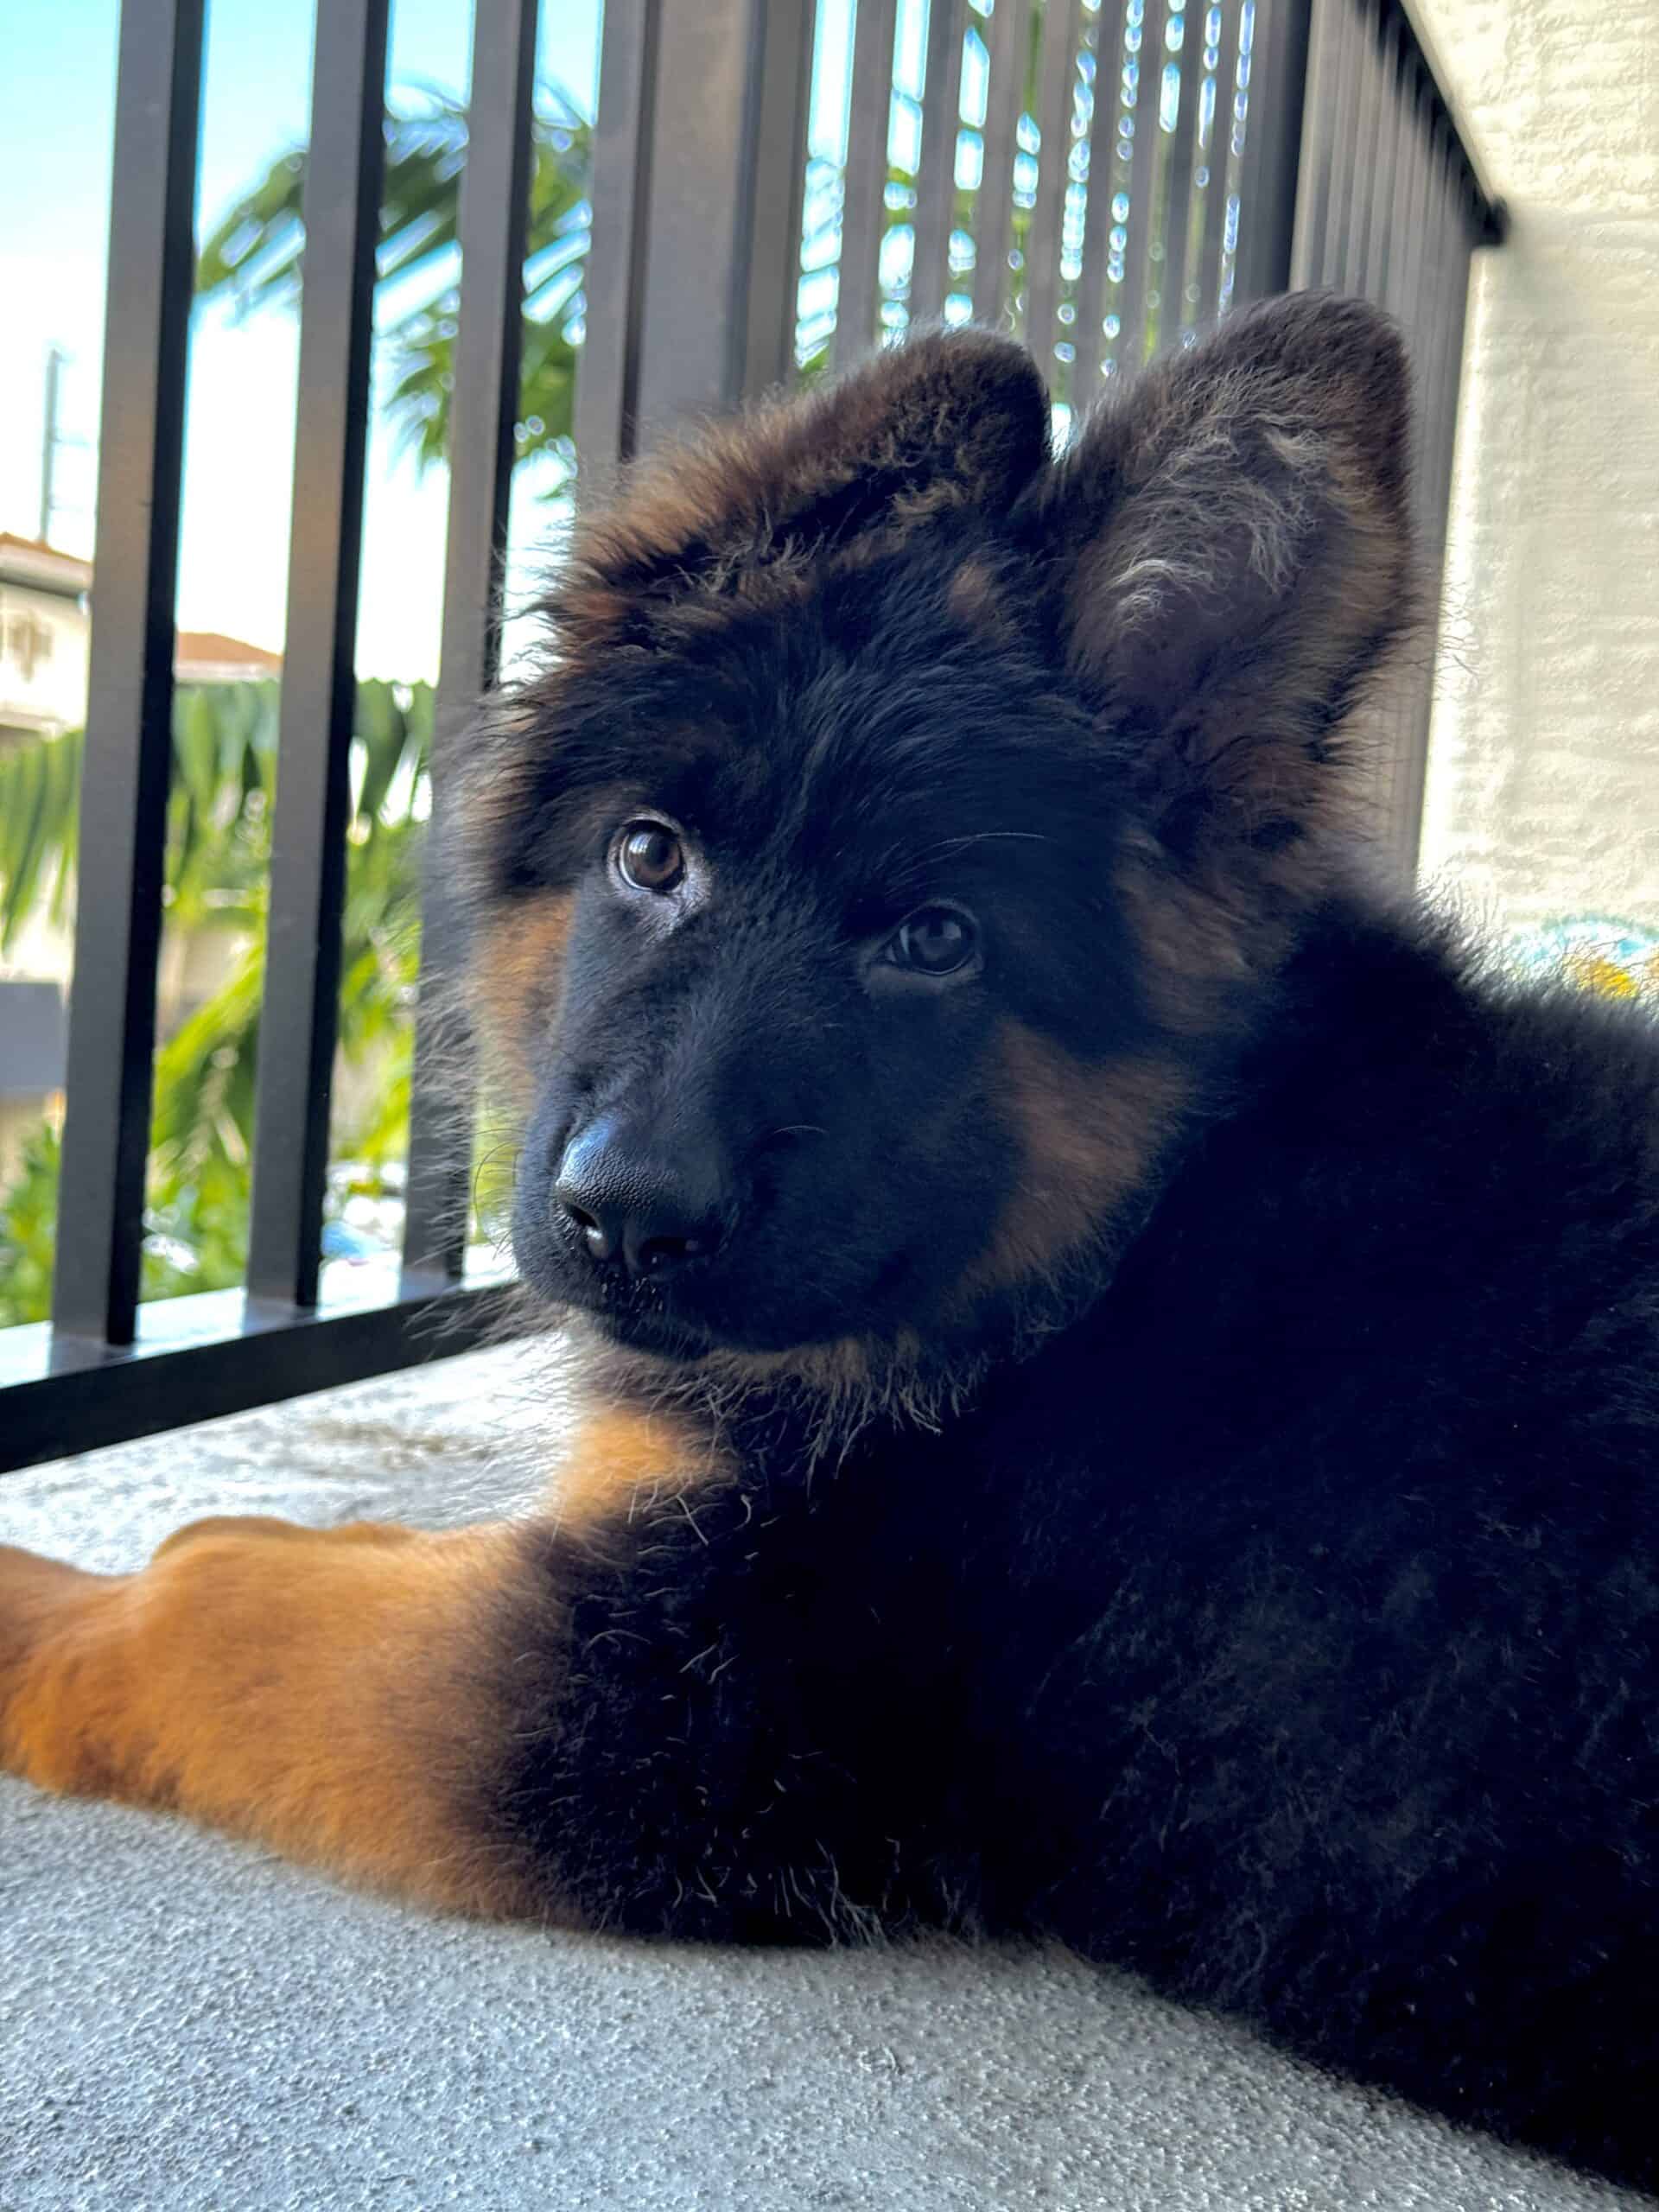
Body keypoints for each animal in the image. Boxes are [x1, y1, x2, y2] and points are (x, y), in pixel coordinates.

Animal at [3, 298, 1659, 2194]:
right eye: (651, 855)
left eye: (933, 940)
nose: (625, 1220)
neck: (1121, 1236)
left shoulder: (673, 1719)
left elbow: (203, 1611)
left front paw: (64, 1597)